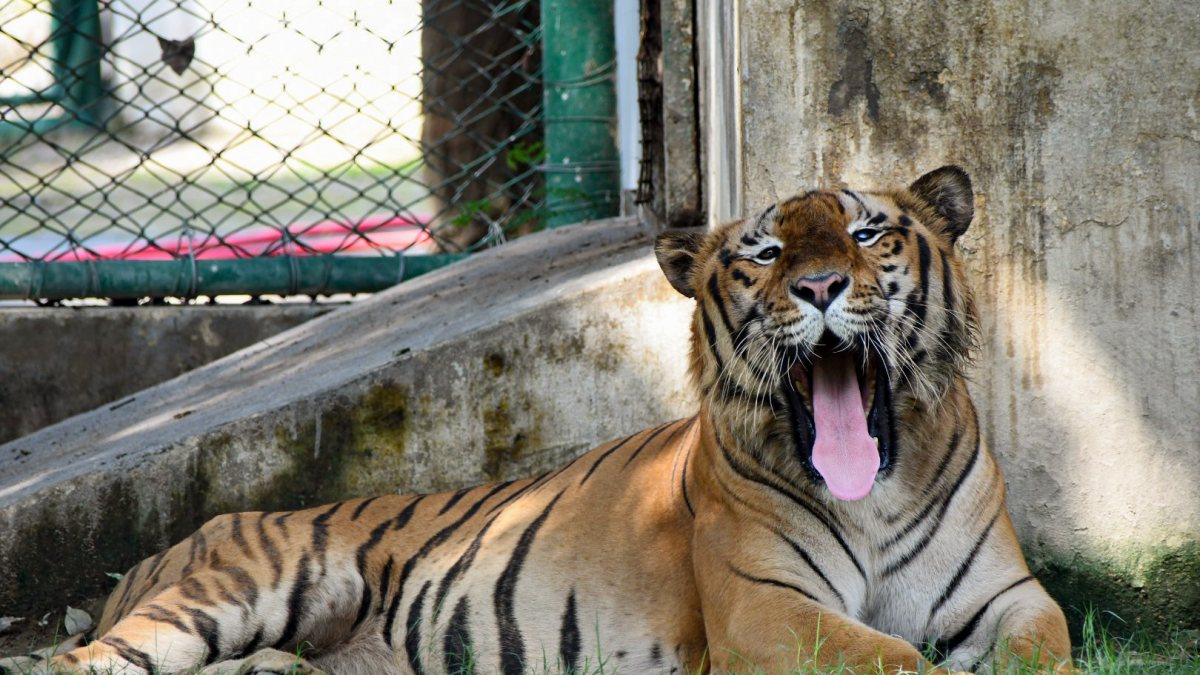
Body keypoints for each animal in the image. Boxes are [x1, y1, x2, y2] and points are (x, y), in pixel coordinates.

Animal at [7, 165, 1072, 675]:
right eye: (766, 252)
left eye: (865, 232)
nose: (817, 287)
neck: (875, 492)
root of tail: (174, 539)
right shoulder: (767, 610)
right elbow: (889, 655)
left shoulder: (1009, 593)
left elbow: (1045, 641)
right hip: (231, 593)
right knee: (83, 661)